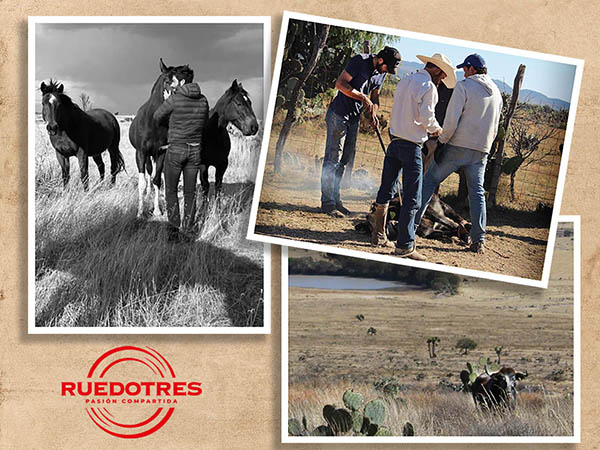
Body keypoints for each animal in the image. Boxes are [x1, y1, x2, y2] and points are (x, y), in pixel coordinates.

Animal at [129, 57, 192, 216]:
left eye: (188, 82)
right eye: (167, 81)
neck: (154, 122)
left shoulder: (161, 152)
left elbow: (157, 179)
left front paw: (157, 210)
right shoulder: (141, 153)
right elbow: (142, 182)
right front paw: (140, 212)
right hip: (146, 156)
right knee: (147, 174)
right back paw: (147, 196)